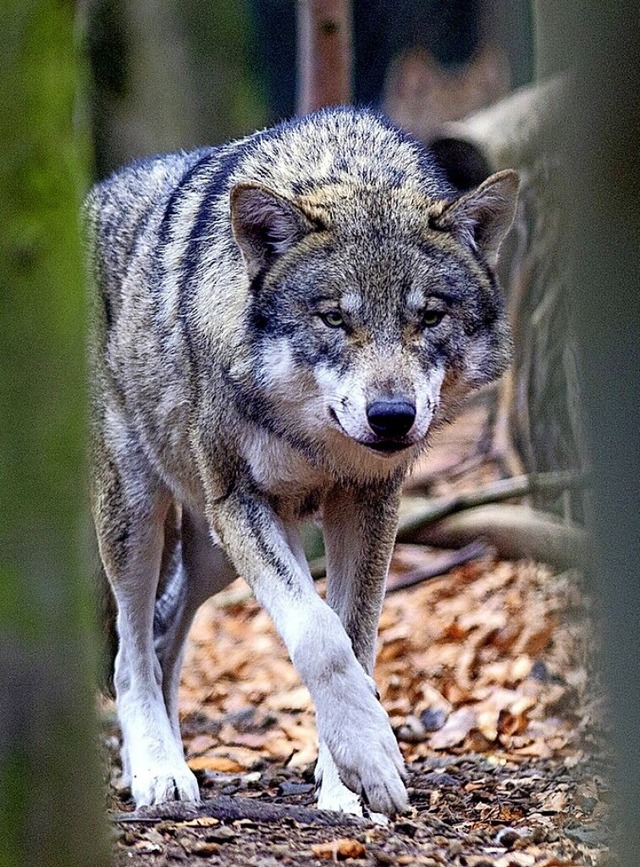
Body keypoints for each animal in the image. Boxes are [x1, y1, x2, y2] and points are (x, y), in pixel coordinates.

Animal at [85, 105, 516, 816]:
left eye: (428, 317)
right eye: (334, 319)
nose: (392, 416)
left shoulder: (368, 504)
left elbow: (355, 639)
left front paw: (346, 784)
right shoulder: (241, 503)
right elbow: (319, 636)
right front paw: (371, 759)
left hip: (212, 555)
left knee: (164, 632)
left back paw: (172, 760)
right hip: (144, 515)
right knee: (130, 649)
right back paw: (157, 771)